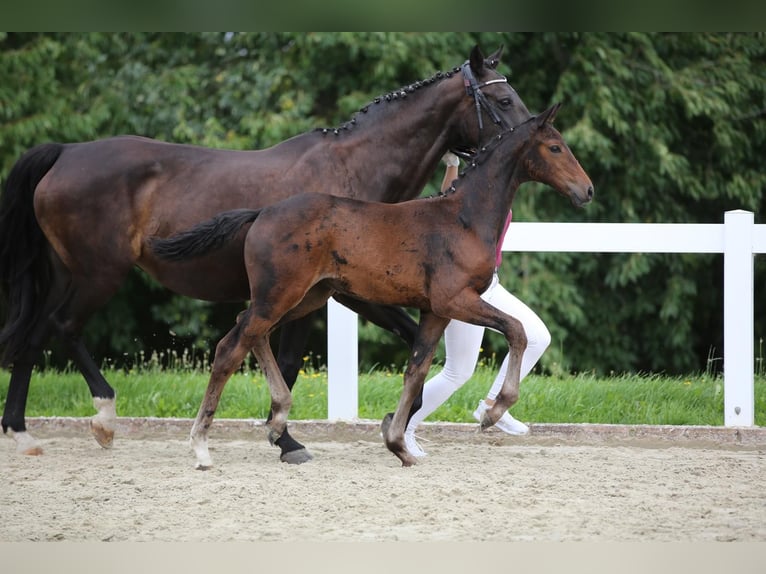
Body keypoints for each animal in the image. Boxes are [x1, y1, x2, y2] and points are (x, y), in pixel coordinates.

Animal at [0, 45, 533, 463]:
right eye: (504, 99)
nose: (533, 139)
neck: (353, 169)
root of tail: (66, 152)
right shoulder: (342, 294)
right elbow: (299, 359)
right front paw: (289, 438)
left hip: (65, 273)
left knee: (33, 335)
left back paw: (21, 433)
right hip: (100, 274)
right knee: (64, 327)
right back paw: (105, 418)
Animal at [150, 103, 594, 468]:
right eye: (555, 147)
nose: (587, 190)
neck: (462, 217)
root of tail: (262, 212)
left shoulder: (435, 310)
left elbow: (416, 370)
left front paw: (399, 446)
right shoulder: (456, 300)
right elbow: (516, 330)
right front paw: (492, 412)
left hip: (306, 297)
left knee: (248, 330)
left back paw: (278, 423)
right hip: (281, 296)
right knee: (230, 348)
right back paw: (202, 446)